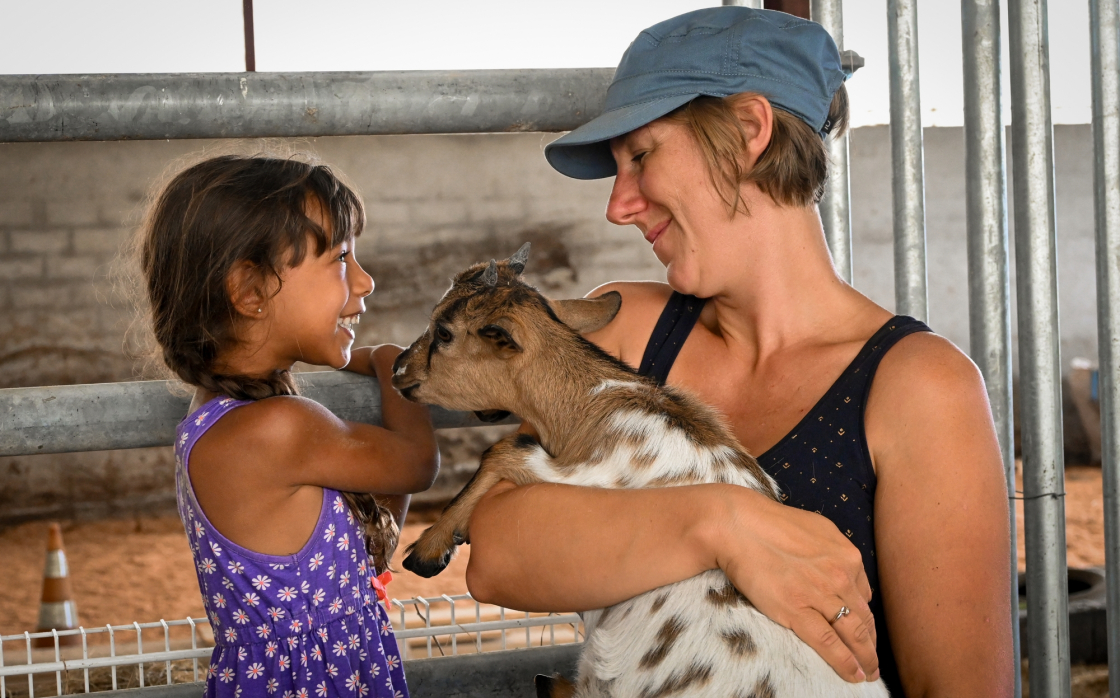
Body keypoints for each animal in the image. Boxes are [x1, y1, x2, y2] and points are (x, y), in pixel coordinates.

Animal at [389, 245, 887, 698]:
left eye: (444, 332)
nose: (396, 369)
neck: (594, 402)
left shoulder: (588, 474)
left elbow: (504, 449)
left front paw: (428, 549)